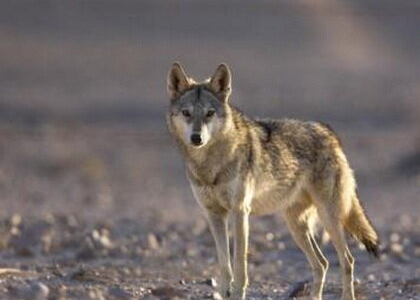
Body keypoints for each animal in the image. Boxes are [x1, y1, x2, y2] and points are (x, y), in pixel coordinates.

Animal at [166, 62, 378, 300]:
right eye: (186, 113)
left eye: (209, 114)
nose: (197, 138)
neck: (210, 164)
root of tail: (329, 133)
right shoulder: (213, 215)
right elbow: (224, 265)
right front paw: (223, 291)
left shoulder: (240, 212)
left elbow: (239, 265)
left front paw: (237, 293)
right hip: (296, 226)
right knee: (322, 264)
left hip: (328, 219)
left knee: (347, 260)